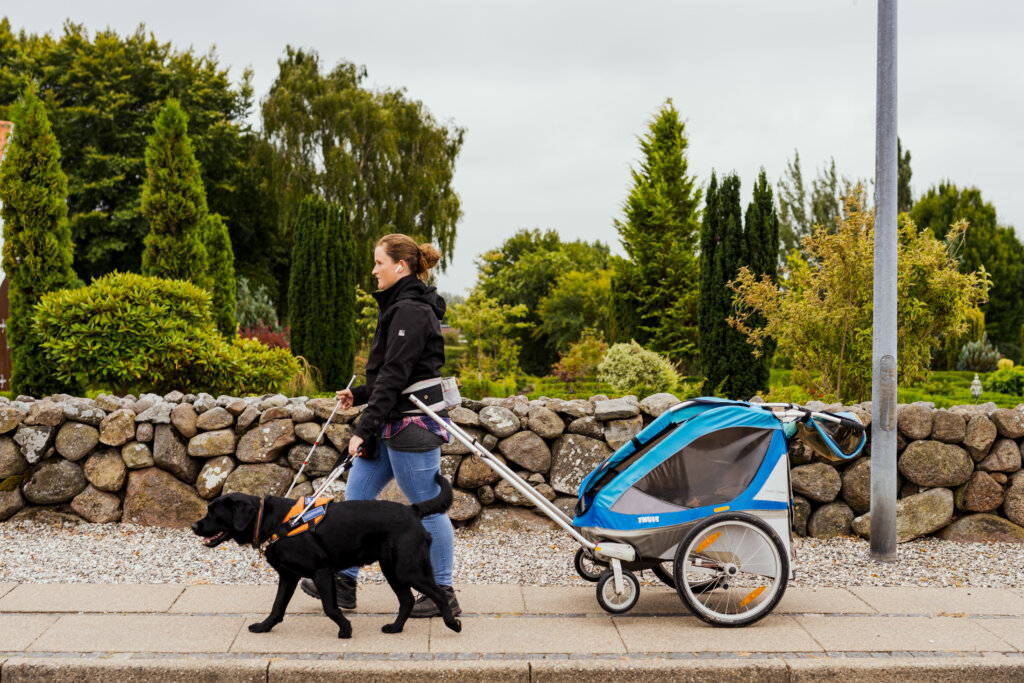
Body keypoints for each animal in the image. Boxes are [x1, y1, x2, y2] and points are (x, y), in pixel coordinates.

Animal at [190, 471, 462, 643]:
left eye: (213, 513)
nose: (193, 525)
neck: (272, 521)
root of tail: (412, 509)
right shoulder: (288, 576)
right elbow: (277, 606)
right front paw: (264, 627)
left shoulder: (322, 571)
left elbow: (329, 607)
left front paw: (346, 629)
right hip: (392, 569)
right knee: (406, 600)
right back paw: (395, 628)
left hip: (407, 569)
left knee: (438, 594)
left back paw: (452, 624)